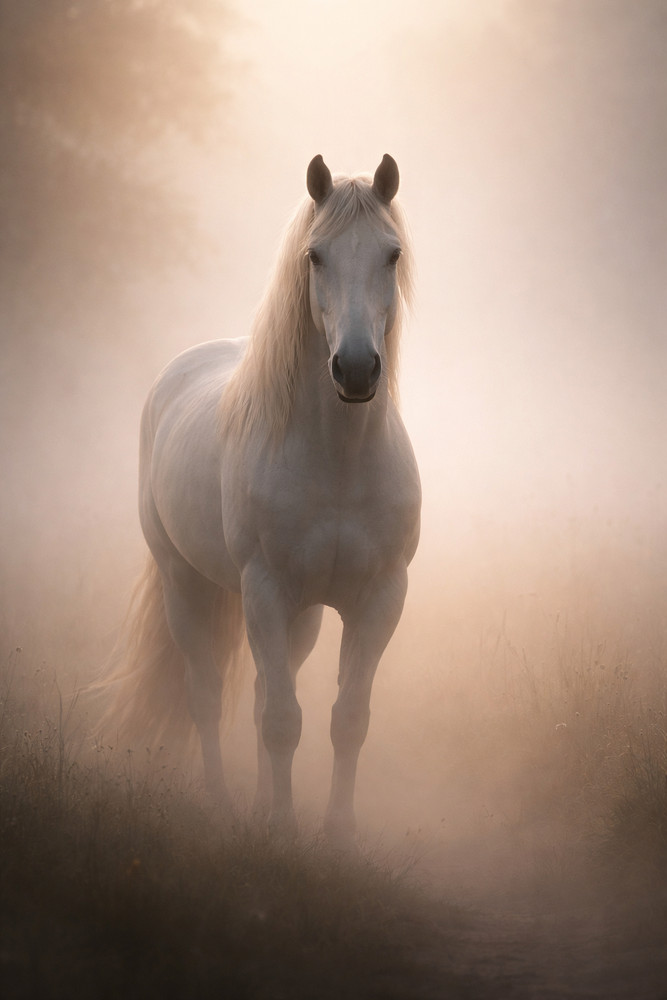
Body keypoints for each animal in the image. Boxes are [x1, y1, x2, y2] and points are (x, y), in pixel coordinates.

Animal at [104, 154, 421, 844]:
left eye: (391, 254)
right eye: (315, 256)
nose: (356, 369)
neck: (338, 462)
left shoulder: (379, 598)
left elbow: (345, 718)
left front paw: (334, 834)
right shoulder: (266, 590)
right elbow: (281, 720)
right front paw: (280, 830)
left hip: (301, 617)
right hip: (186, 585)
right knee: (205, 694)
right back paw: (225, 805)